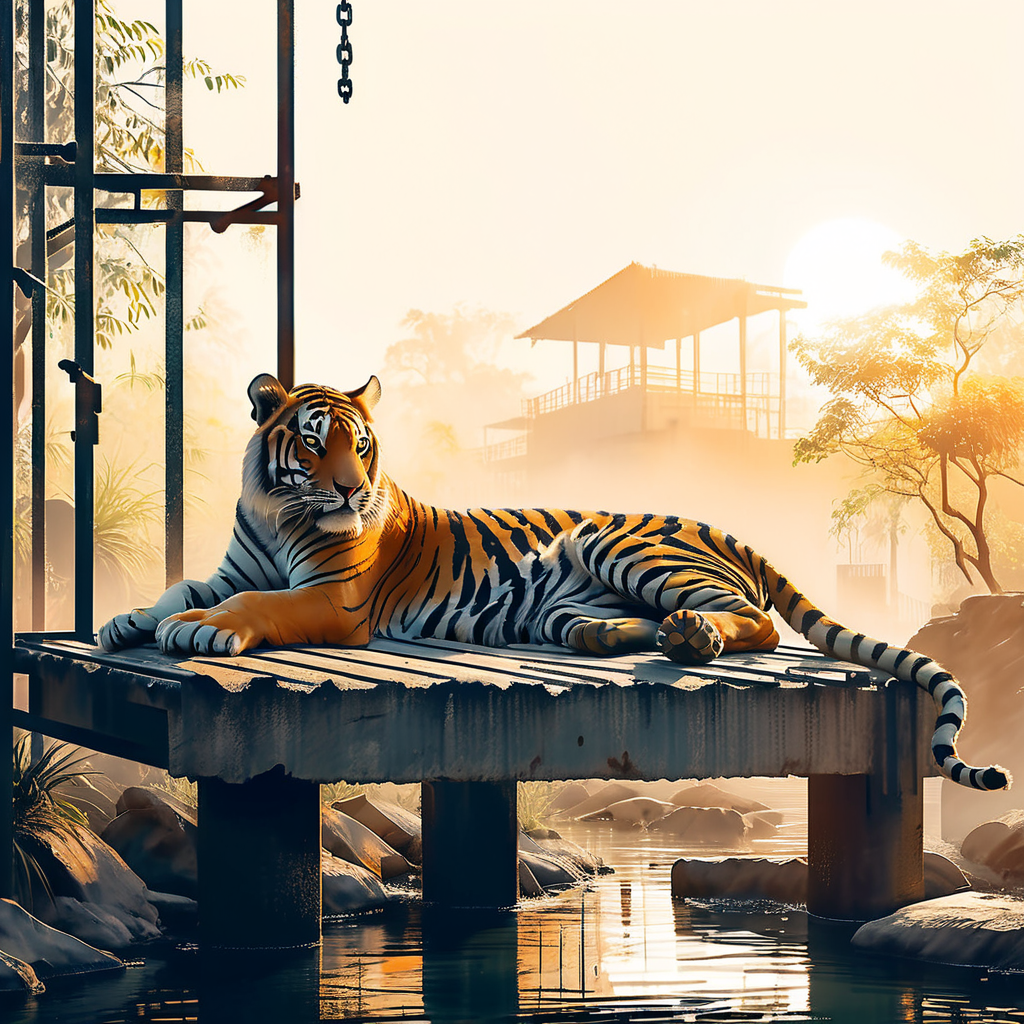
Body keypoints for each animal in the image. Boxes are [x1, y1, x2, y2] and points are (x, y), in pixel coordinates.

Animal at [98, 373, 1010, 793]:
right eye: (317, 442)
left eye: (363, 446)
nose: (353, 492)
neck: (278, 510)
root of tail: (725, 527)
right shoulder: (230, 564)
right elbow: (182, 589)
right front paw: (127, 623)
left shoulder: (333, 598)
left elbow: (258, 603)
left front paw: (204, 630)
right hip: (570, 603)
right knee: (633, 625)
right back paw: (643, 635)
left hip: (622, 545)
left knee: (756, 620)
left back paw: (695, 635)